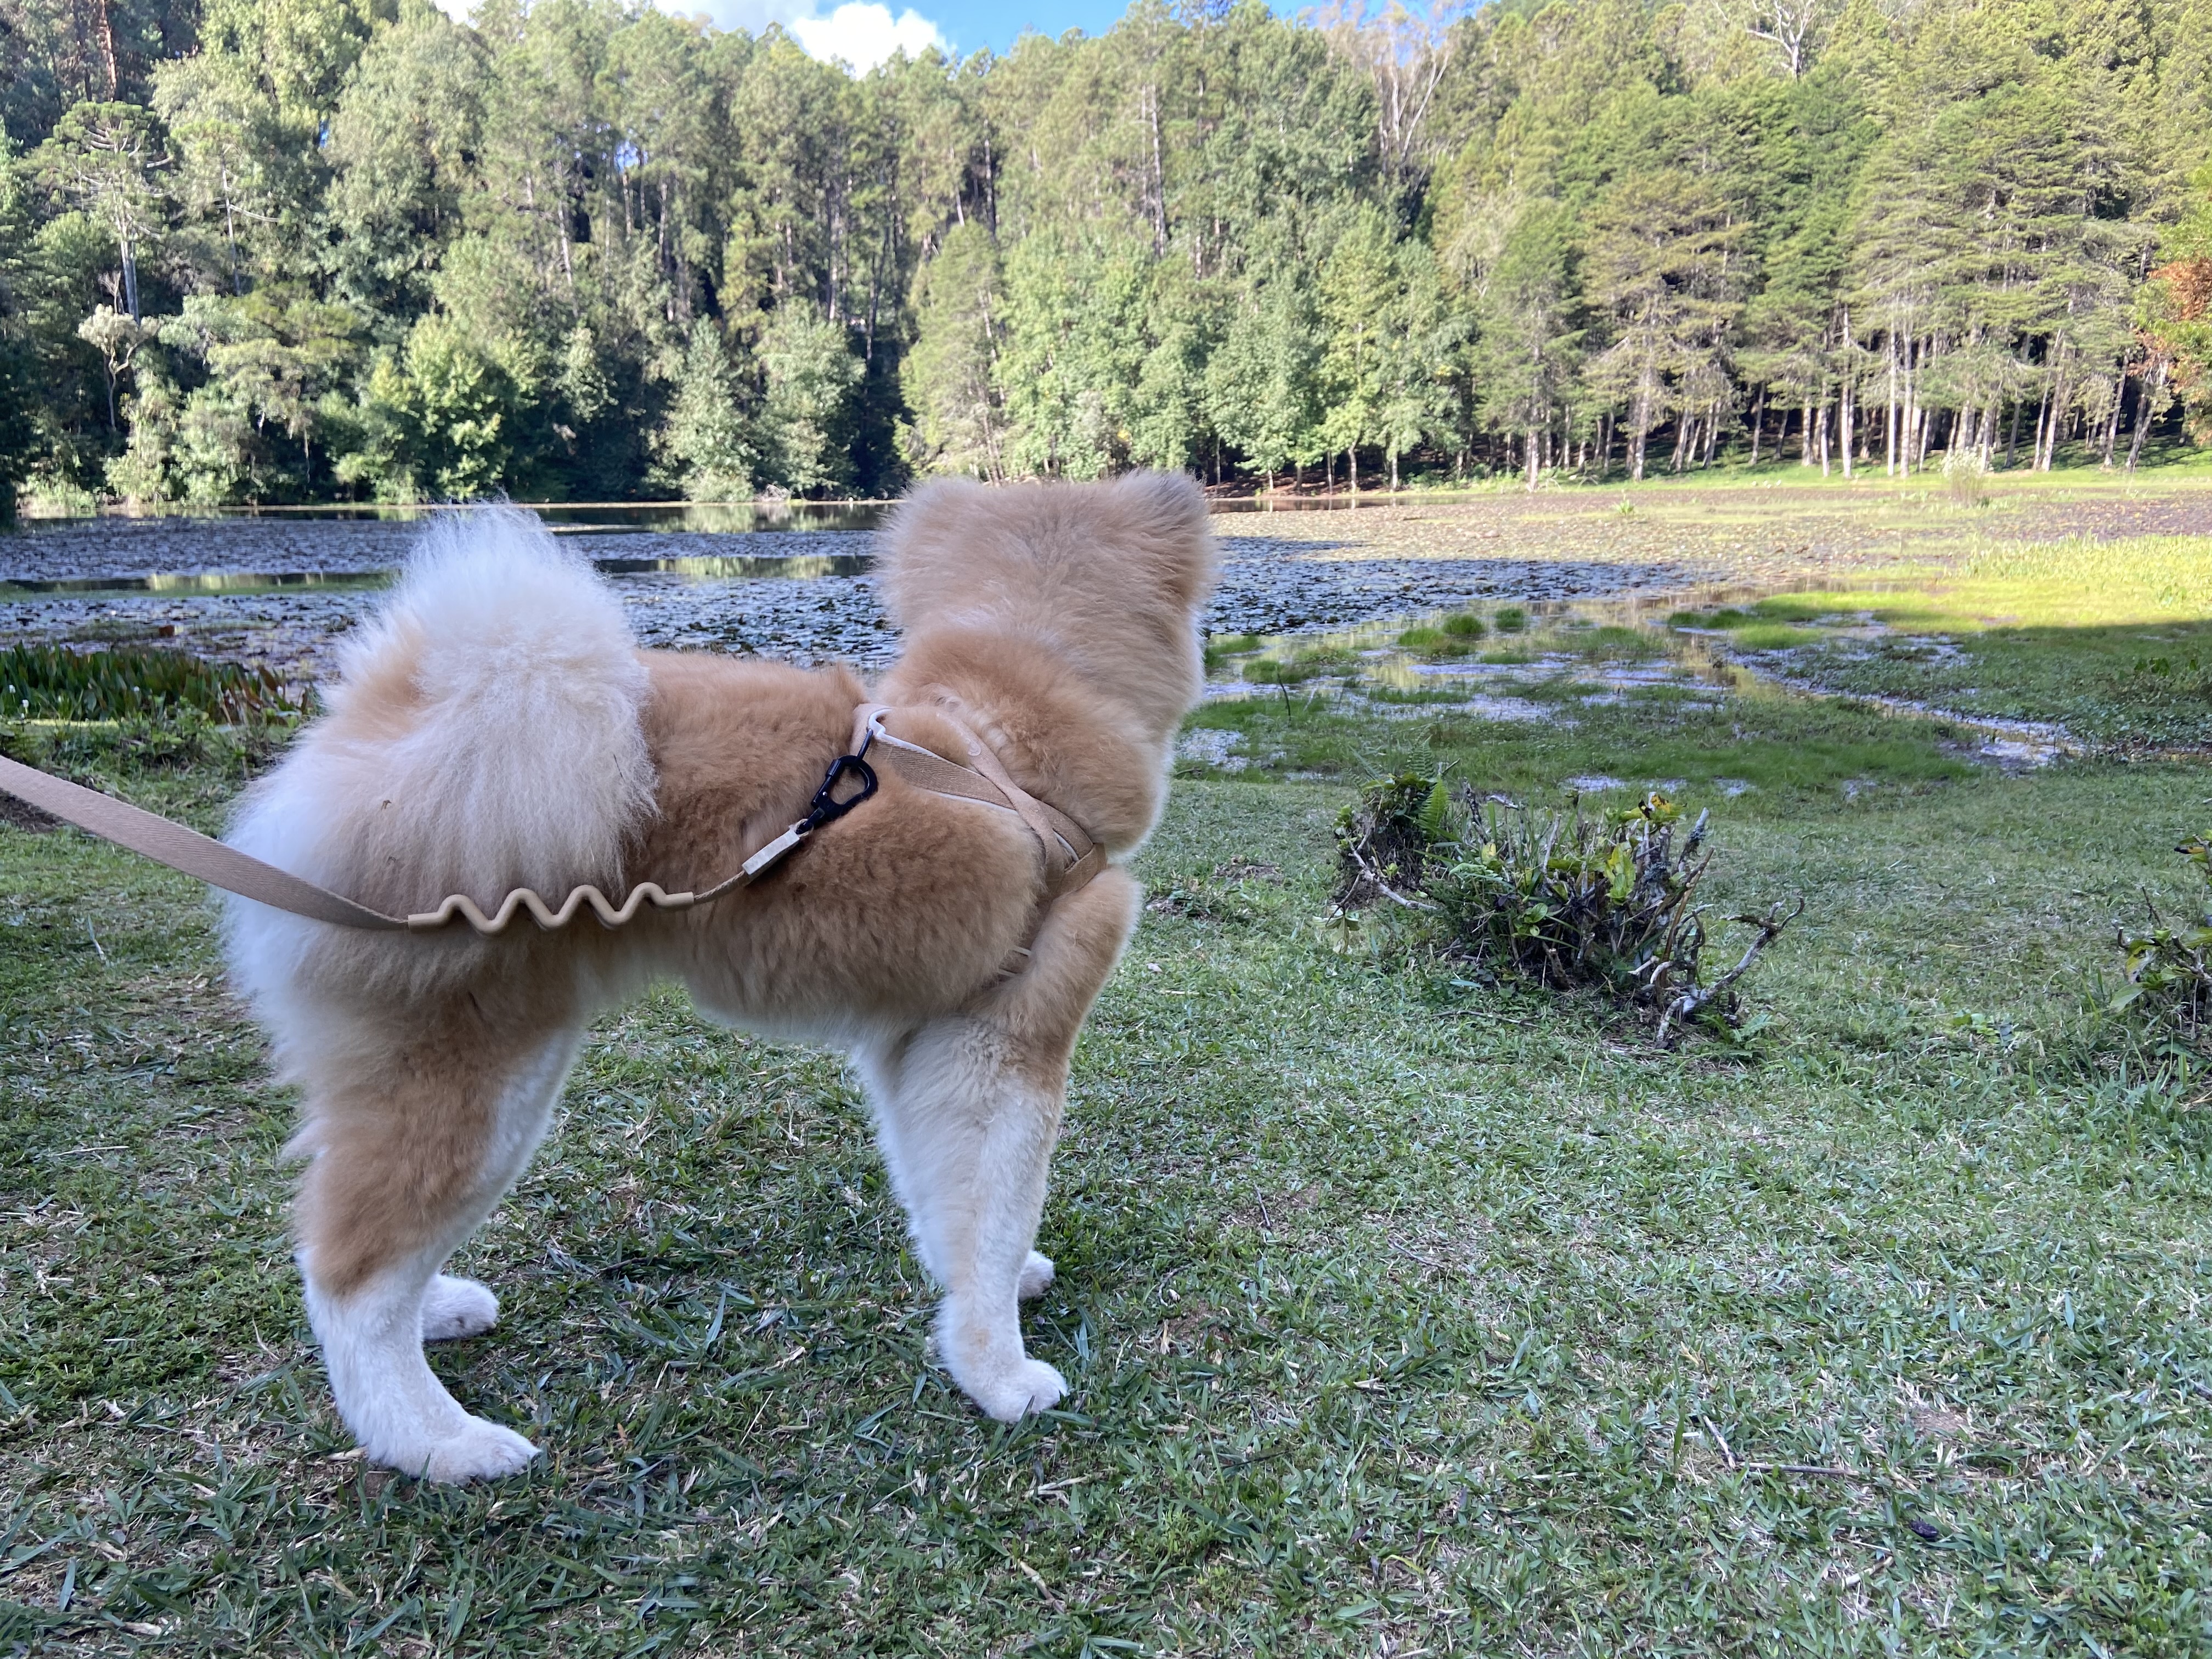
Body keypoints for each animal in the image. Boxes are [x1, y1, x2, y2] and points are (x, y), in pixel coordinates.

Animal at [224, 473, 1221, 1486]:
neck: (1006, 724)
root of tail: (390, 728)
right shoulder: (1012, 1036)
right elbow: (1000, 1203)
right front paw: (1001, 1373)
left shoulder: (922, 1039)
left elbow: (949, 1200)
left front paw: (990, 1292)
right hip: (482, 1078)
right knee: (351, 1279)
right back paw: (438, 1440)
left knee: (350, 1242)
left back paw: (437, 1311)